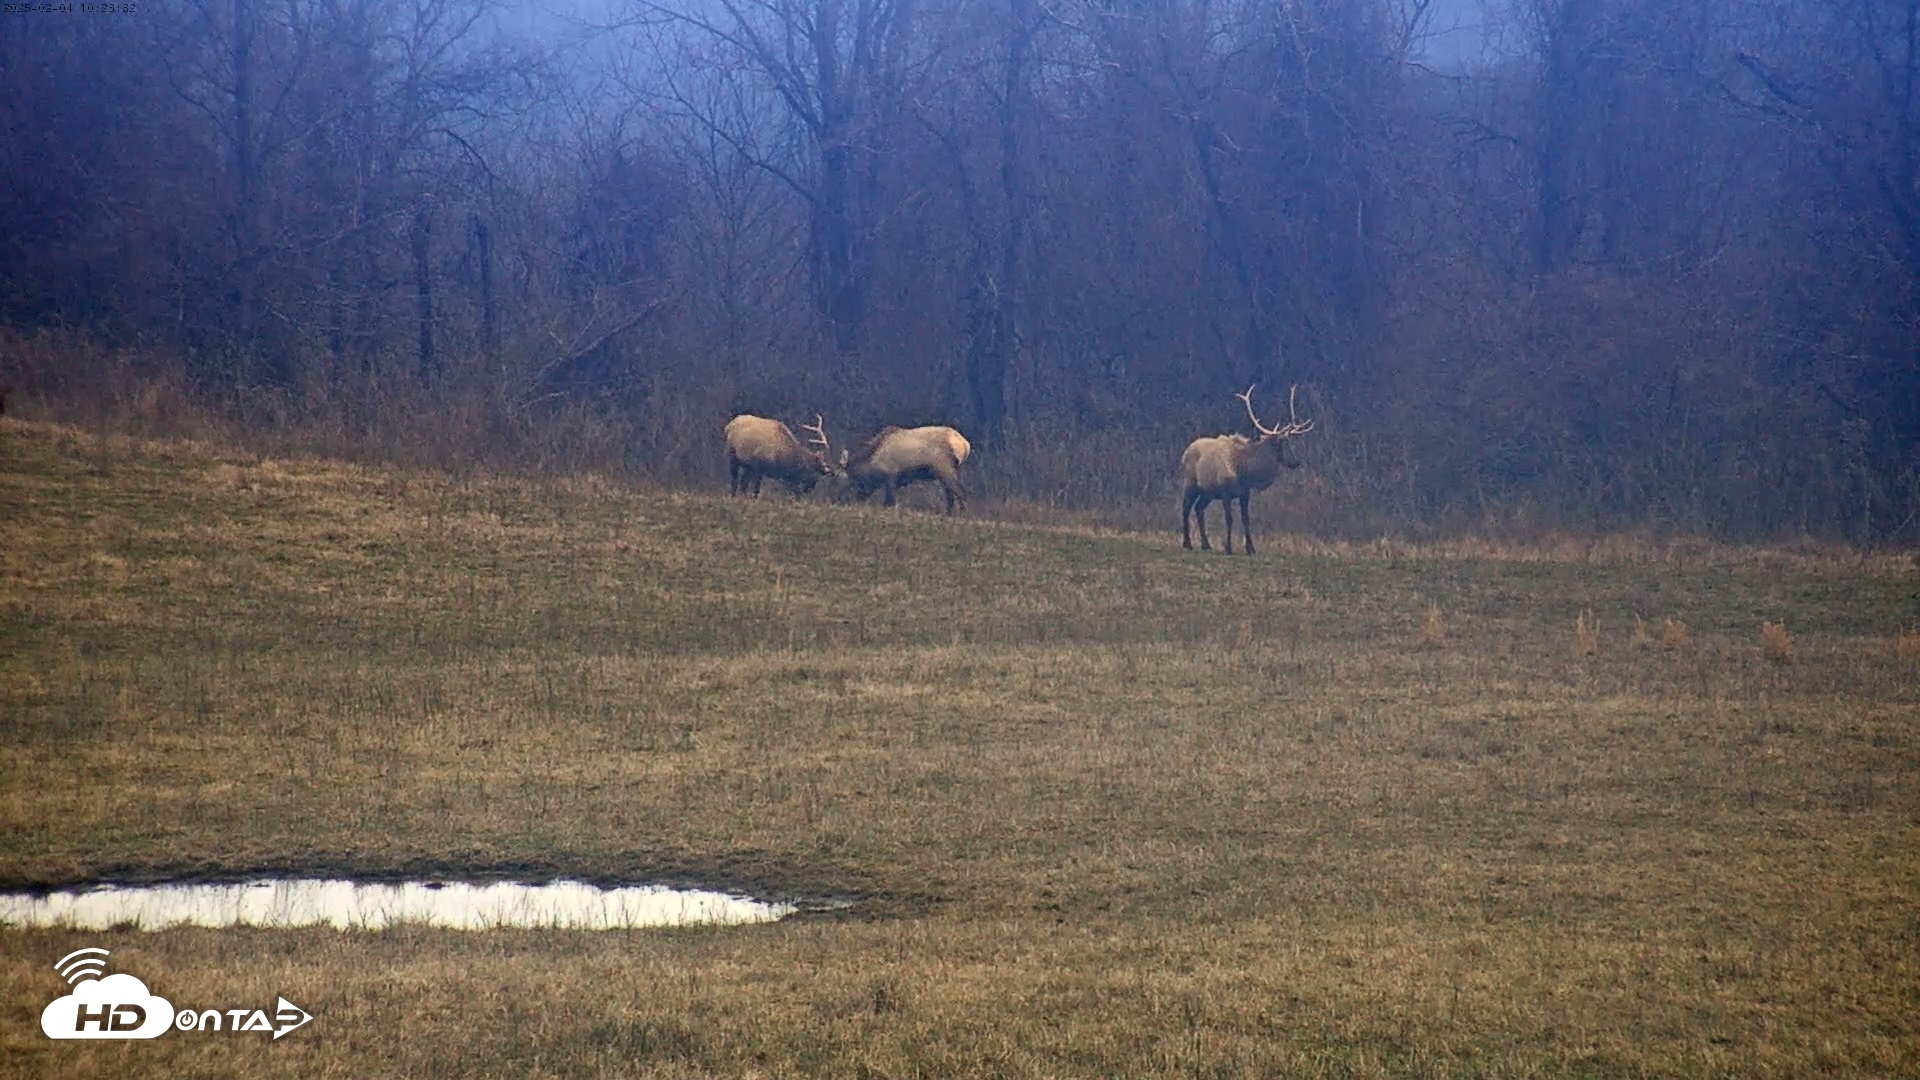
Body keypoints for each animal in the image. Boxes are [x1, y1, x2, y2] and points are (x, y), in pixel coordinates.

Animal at [839, 425, 971, 514]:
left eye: (852, 477)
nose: (840, 499)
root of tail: (964, 445)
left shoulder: (891, 476)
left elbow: (890, 501)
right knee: (951, 495)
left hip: (944, 469)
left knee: (960, 493)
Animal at [1179, 385, 1314, 554]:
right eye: (1284, 442)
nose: (1296, 462)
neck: (1245, 472)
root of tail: (1185, 452)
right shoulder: (1225, 493)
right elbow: (1229, 519)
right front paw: (1228, 547)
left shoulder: (1245, 493)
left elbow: (1246, 519)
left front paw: (1251, 548)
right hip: (1191, 483)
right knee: (1186, 508)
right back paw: (1187, 543)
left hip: (1208, 492)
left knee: (1198, 509)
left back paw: (1206, 545)